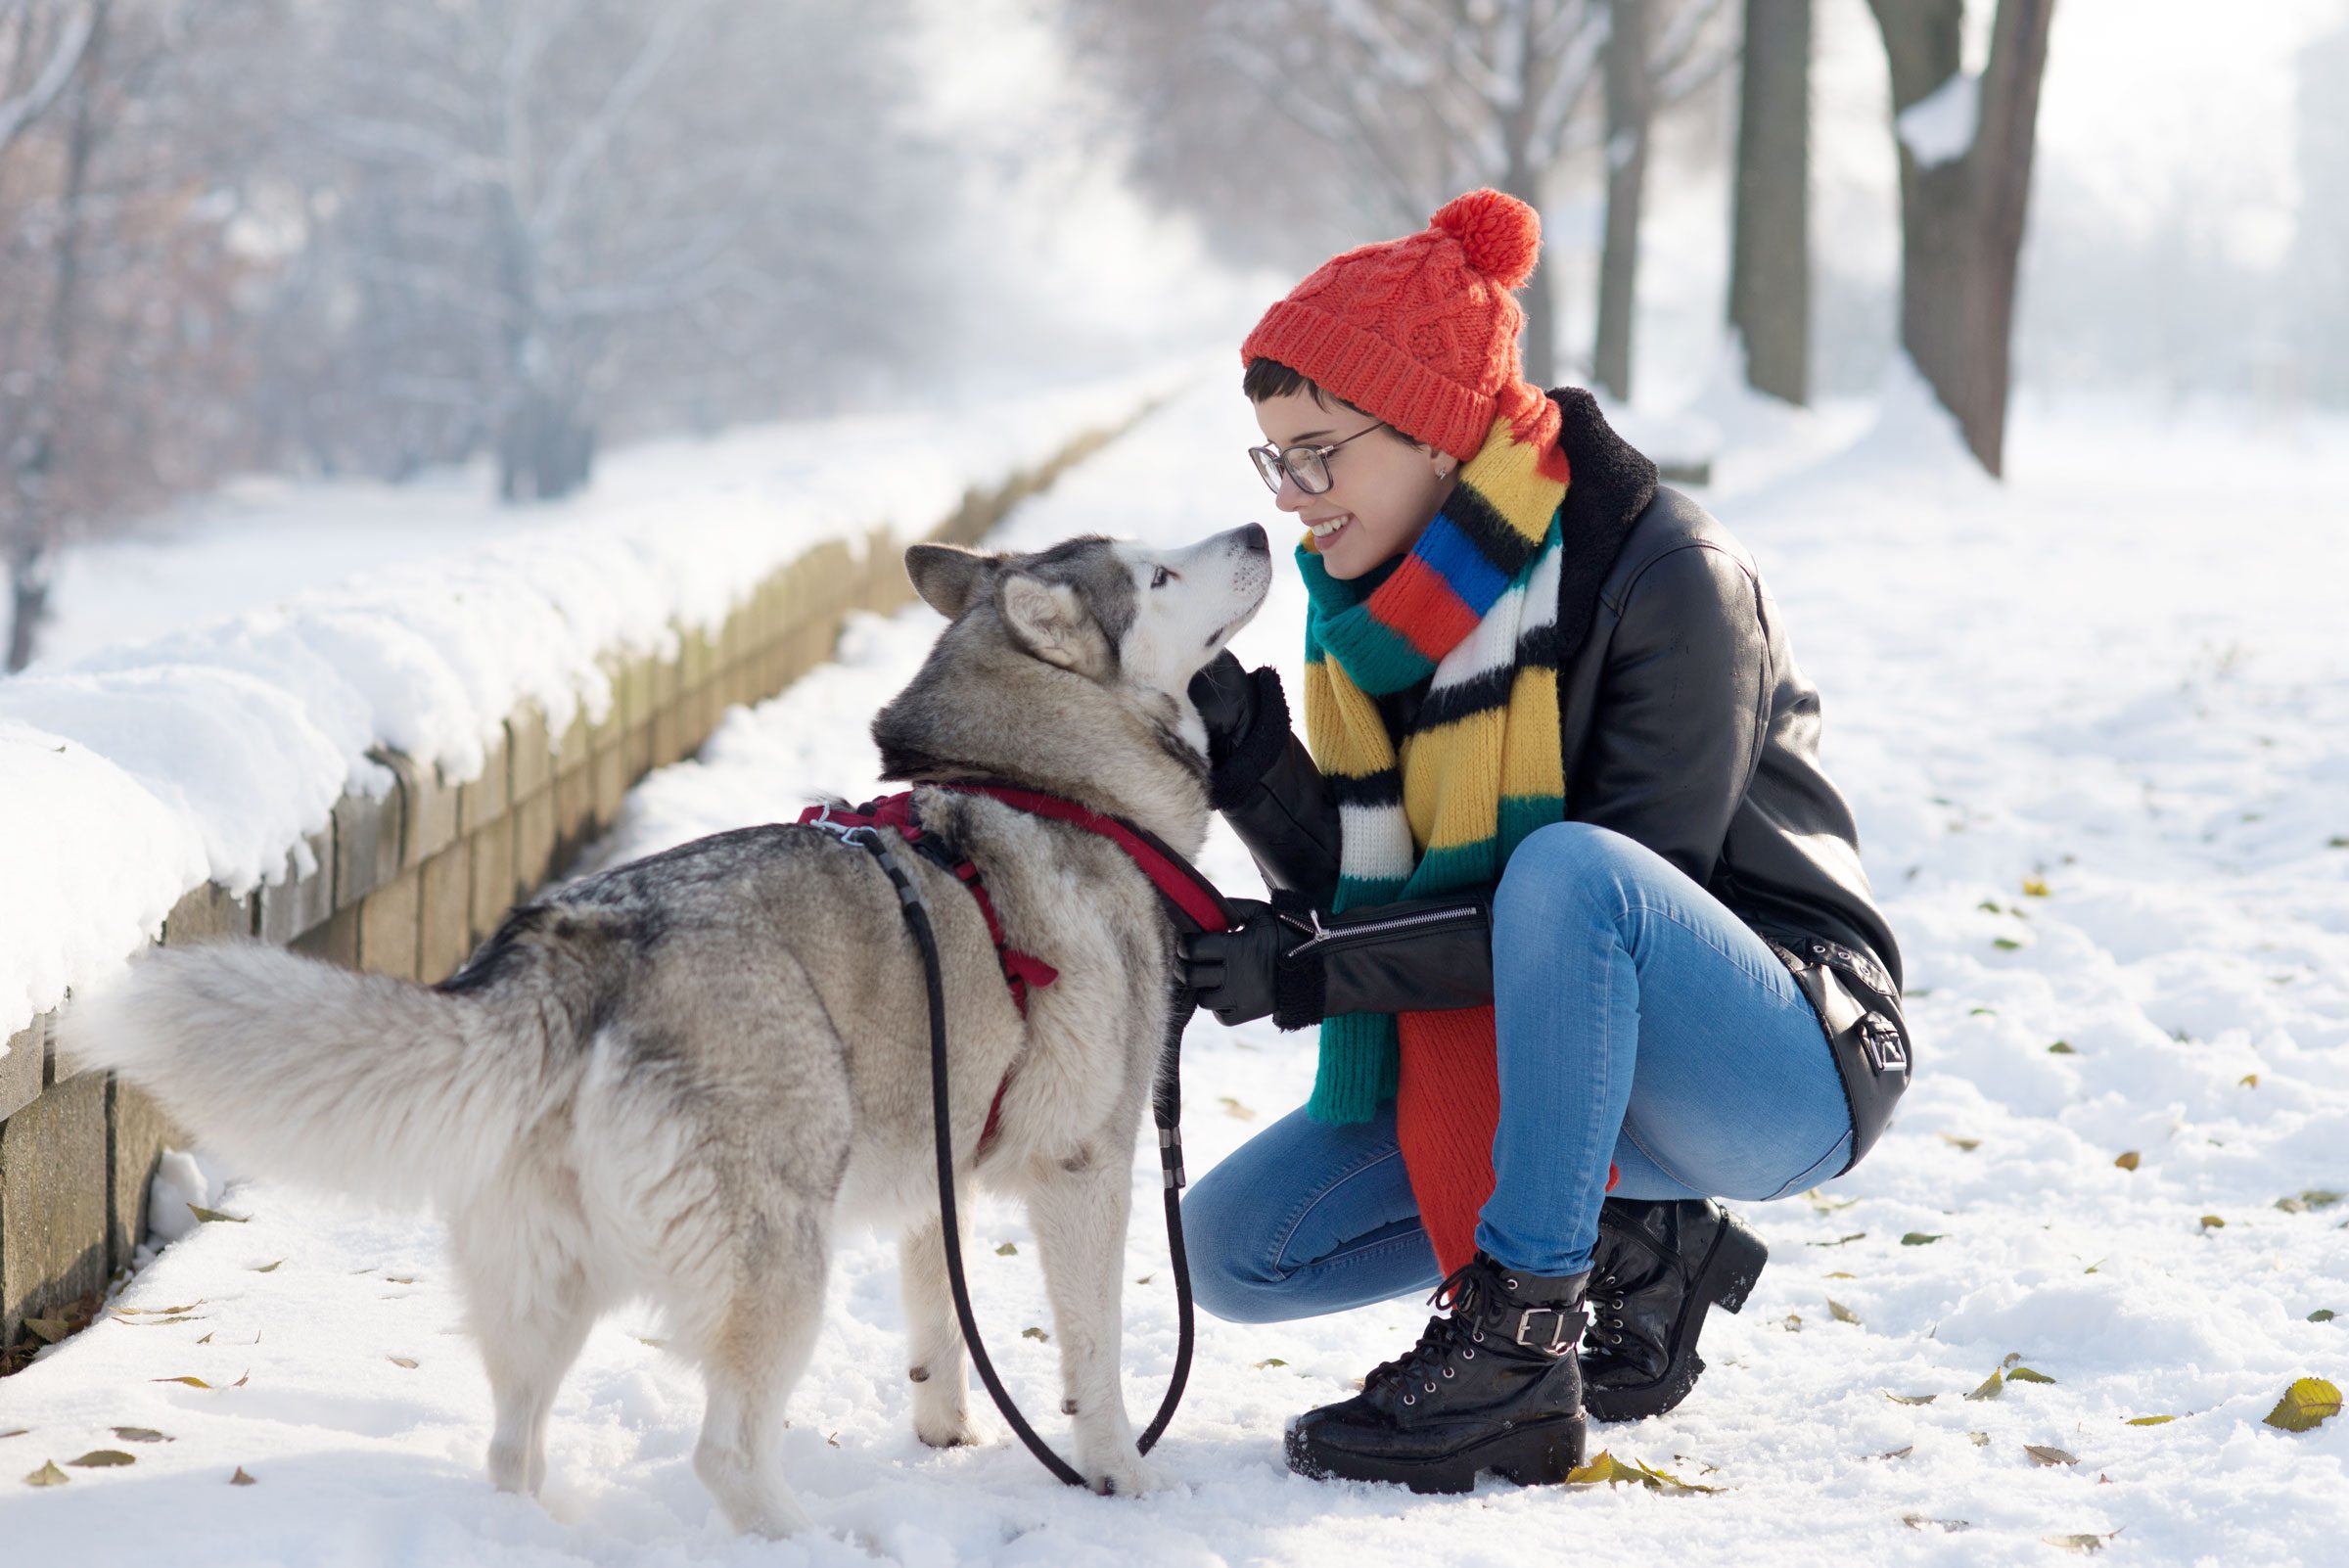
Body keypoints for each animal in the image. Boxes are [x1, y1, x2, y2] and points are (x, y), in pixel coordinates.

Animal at [59, 523, 1268, 1530]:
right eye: (1159, 574)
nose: (1259, 528)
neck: (1040, 779)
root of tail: (578, 939)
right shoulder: (1085, 1163)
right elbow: (1098, 1359)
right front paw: (1119, 1475)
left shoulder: (941, 1155)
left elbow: (940, 1316)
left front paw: (943, 1431)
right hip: (779, 1257)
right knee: (726, 1453)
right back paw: (809, 1541)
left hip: (544, 1280)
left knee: (512, 1448)